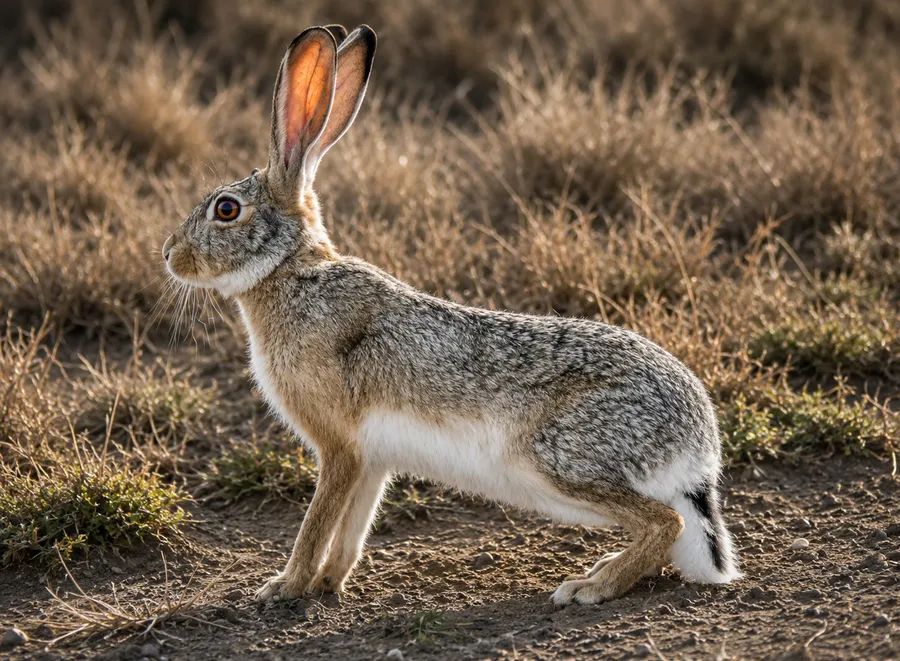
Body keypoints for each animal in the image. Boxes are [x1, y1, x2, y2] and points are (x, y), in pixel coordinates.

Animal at [163, 24, 741, 606]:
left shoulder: (340, 446)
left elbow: (318, 523)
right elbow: (352, 529)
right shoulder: (371, 459)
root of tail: (699, 451)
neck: (290, 271)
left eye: (226, 209)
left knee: (665, 522)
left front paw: (284, 586)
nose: (170, 254)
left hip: (557, 461)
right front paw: (330, 583)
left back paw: (590, 586)